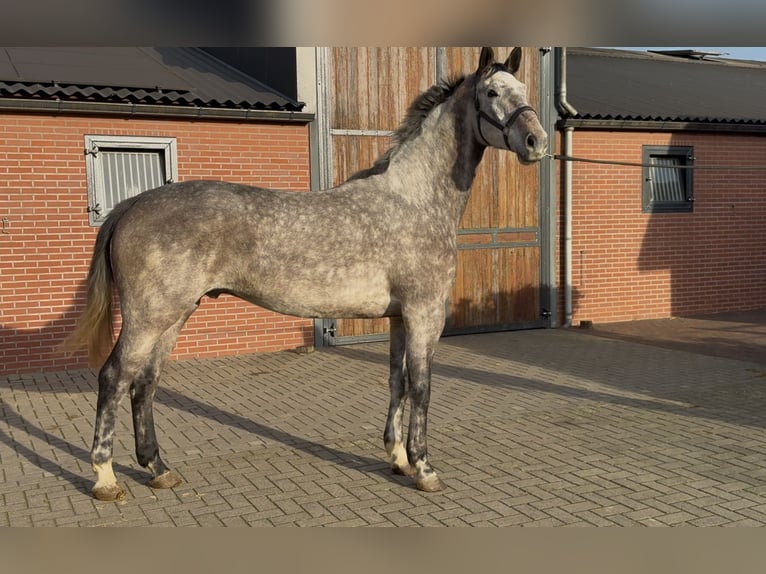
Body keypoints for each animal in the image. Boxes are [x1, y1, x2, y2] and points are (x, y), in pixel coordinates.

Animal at [63, 47, 547, 501]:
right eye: (492, 93)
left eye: (525, 91)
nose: (536, 141)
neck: (414, 200)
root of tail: (131, 205)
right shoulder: (425, 314)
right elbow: (423, 387)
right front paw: (424, 469)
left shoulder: (398, 318)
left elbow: (398, 382)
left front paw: (397, 459)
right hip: (149, 318)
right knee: (114, 378)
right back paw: (106, 479)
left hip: (173, 316)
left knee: (145, 383)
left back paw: (159, 469)